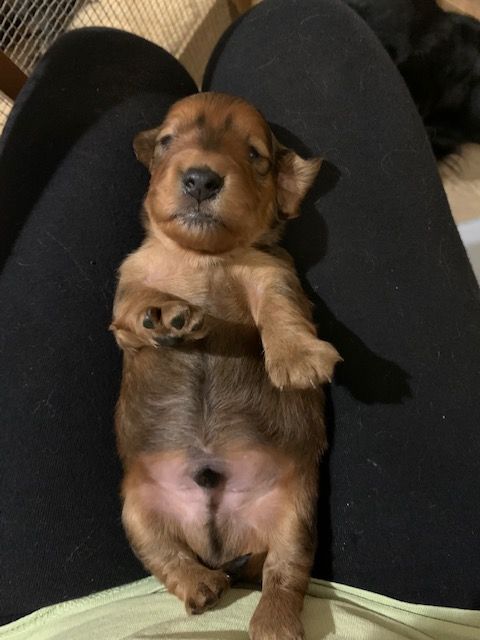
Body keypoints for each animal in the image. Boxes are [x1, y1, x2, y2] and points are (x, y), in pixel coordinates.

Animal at [110, 92, 341, 639]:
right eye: (167, 140)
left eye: (255, 155)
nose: (201, 179)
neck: (203, 257)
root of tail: (224, 551)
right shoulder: (126, 290)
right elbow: (137, 303)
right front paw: (164, 312)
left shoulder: (271, 275)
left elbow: (279, 311)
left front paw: (298, 358)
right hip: (136, 510)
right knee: (167, 556)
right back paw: (201, 586)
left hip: (296, 516)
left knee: (284, 575)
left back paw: (274, 623)